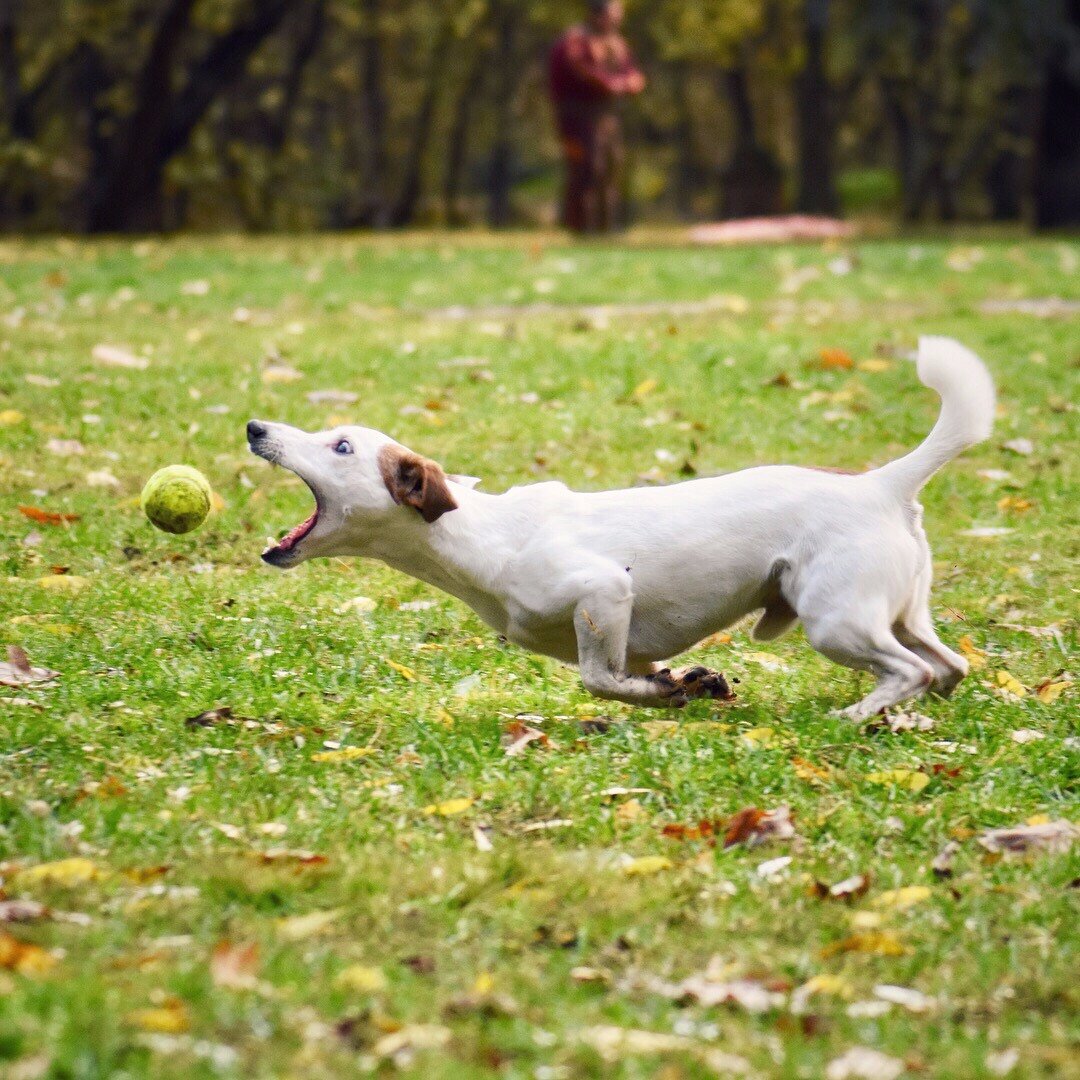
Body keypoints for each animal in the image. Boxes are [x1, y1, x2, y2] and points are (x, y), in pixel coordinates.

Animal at [248, 330, 989, 717]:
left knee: (910, 672)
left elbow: (596, 679)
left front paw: (666, 692)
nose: (255, 427)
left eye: (342, 446)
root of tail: (881, 484)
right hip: (899, 616)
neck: (484, 537)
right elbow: (633, 676)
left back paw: (857, 714)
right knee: (945, 666)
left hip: (836, 621)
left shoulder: (604, 591)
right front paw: (681, 687)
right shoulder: (624, 639)